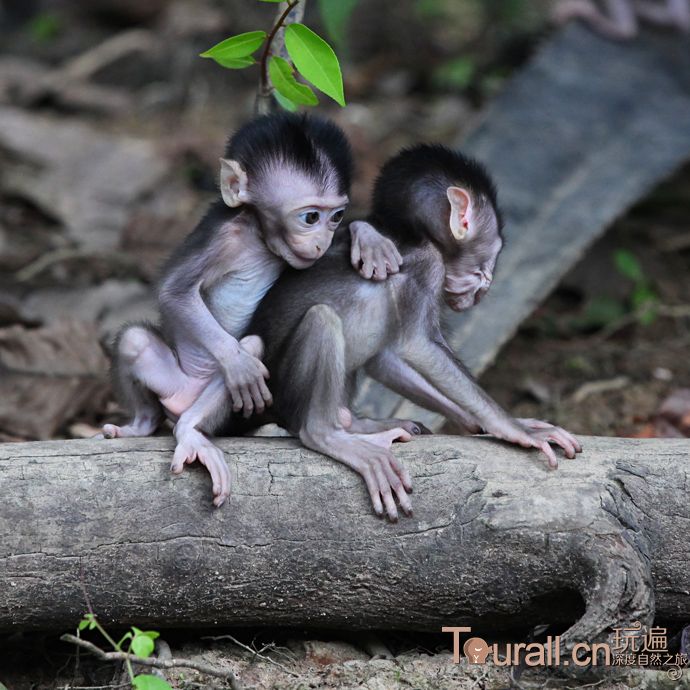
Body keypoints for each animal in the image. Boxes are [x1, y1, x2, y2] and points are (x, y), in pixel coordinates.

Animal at [99, 114, 406, 506]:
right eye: (310, 218)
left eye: (336, 216)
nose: (320, 241)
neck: (258, 235)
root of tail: (181, 401)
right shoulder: (223, 237)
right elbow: (175, 292)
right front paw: (239, 365)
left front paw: (368, 237)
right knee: (142, 341)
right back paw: (170, 427)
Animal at [232, 146, 580, 520]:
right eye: (492, 255)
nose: (486, 287)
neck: (418, 238)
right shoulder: (428, 268)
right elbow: (419, 346)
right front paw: (517, 429)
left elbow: (386, 357)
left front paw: (477, 421)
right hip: (279, 388)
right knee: (321, 321)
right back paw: (330, 434)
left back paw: (358, 425)